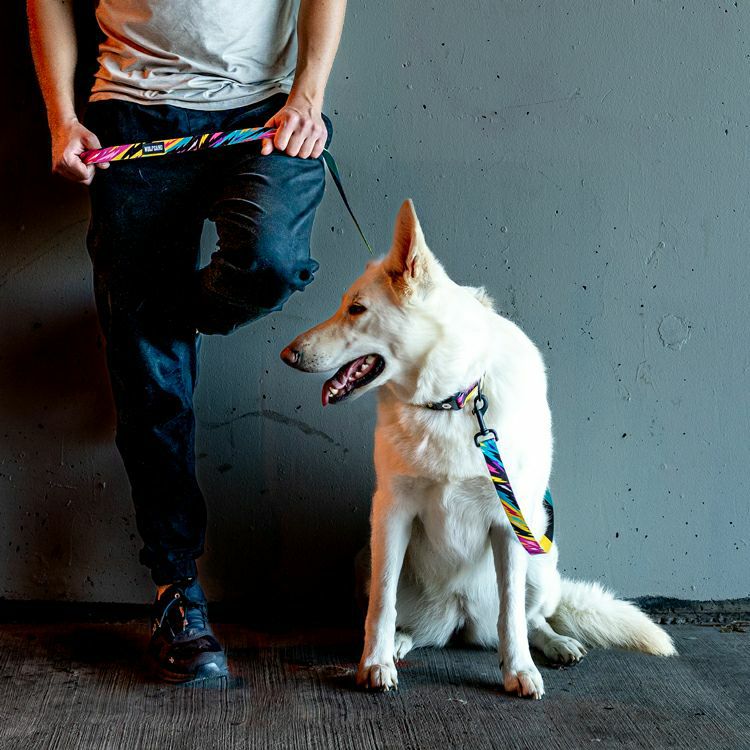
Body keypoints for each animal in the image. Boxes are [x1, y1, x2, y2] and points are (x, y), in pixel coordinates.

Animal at [281, 200, 676, 699]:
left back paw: (554, 643)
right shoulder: (390, 512)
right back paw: (400, 643)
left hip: (540, 554)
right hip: (369, 558)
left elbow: (512, 616)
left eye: (356, 309)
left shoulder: (510, 523)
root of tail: (459, 617)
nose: (287, 355)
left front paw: (519, 669)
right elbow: (382, 606)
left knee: (530, 616)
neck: (451, 399)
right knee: (405, 618)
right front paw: (374, 662)